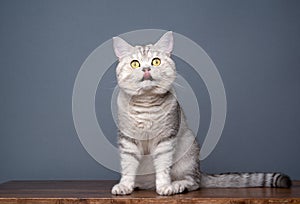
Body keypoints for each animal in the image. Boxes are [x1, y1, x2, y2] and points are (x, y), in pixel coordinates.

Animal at [110, 31, 290, 195]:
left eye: (156, 61)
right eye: (135, 64)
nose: (146, 68)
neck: (146, 103)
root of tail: (200, 170)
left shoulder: (166, 139)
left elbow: (162, 167)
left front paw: (164, 187)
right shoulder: (127, 140)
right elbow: (128, 166)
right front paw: (125, 185)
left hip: (188, 152)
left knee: (194, 182)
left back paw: (177, 185)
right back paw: (138, 184)